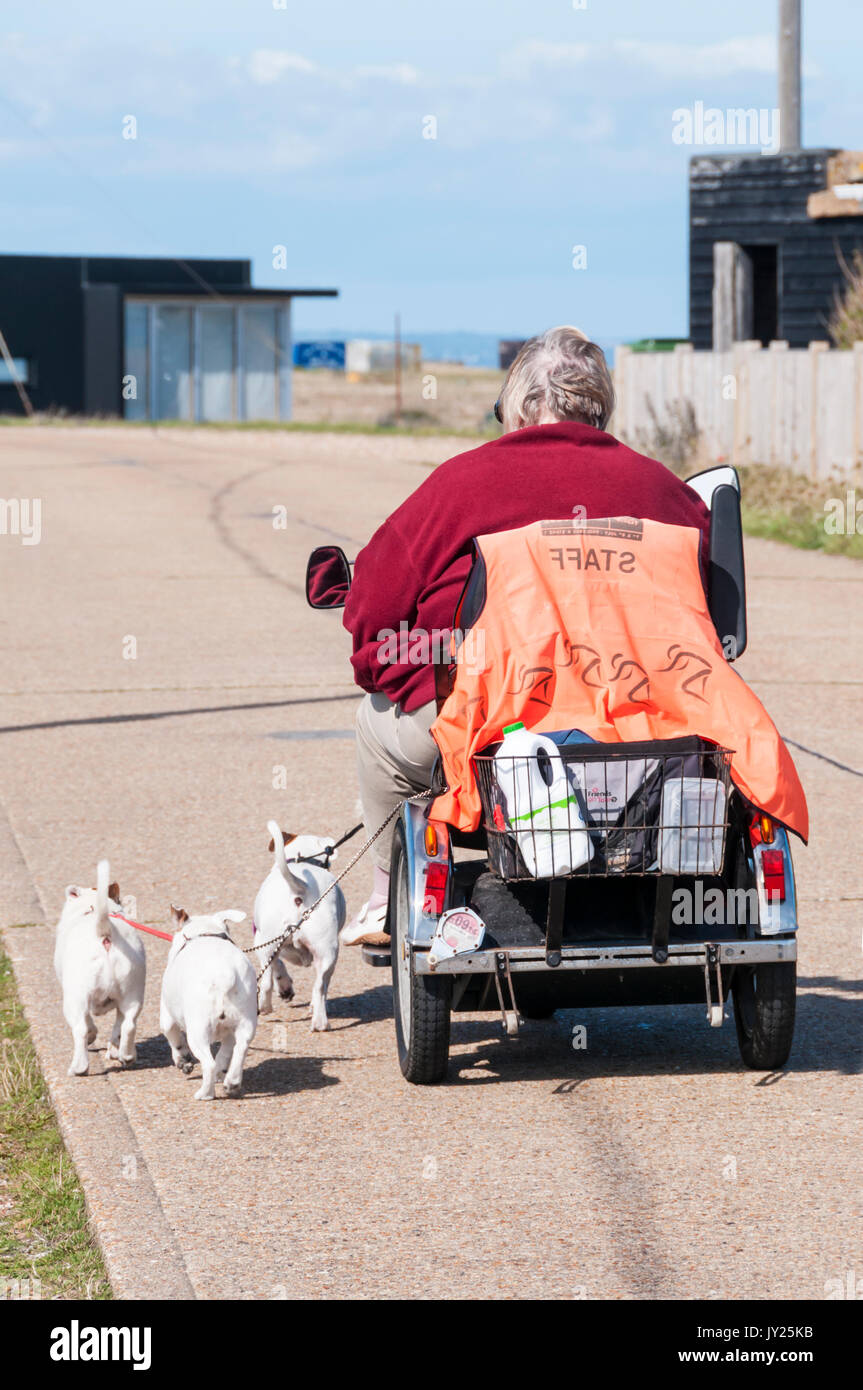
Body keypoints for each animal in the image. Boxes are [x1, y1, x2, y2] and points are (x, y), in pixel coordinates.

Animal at [53, 856, 145, 1073]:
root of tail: (105, 934)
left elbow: (89, 1025)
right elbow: (118, 1027)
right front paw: (115, 1051)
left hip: (75, 999)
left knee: (80, 1029)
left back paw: (79, 1068)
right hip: (133, 993)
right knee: (128, 1024)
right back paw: (127, 1055)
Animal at [159, 906, 255, 1100]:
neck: (204, 932)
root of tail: (224, 973)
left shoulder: (167, 1016)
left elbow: (174, 1038)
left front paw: (182, 1060)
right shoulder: (229, 1033)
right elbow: (225, 1054)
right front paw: (223, 1073)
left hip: (198, 1031)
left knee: (208, 1064)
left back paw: (205, 1093)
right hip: (245, 1024)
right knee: (240, 1049)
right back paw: (232, 1083)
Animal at [255, 817, 346, 1028]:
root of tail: (301, 888)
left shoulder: (262, 943)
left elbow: (278, 966)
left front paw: (285, 987)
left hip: (268, 943)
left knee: (267, 982)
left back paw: (265, 1008)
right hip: (327, 952)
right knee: (320, 987)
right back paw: (320, 1022)